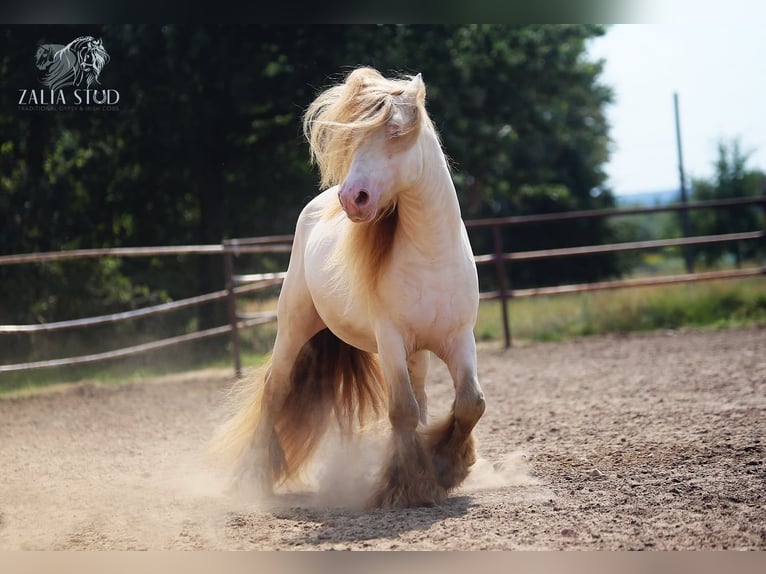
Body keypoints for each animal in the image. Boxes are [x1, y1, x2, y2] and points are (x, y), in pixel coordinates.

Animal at [210, 67, 486, 508]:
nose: (353, 198)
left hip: (418, 353)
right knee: (275, 390)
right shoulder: (390, 340)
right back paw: (252, 477)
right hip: (294, 327)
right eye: (353, 138)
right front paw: (406, 486)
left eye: (394, 130)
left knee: (425, 397)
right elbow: (403, 409)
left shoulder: (459, 339)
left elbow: (469, 404)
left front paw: (446, 468)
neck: (431, 258)